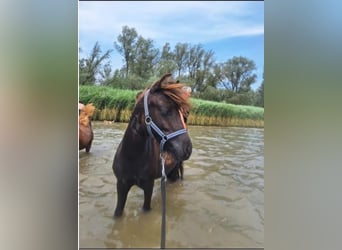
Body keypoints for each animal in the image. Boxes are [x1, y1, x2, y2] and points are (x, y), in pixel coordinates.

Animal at [112, 73, 192, 216]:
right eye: (165, 110)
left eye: (182, 113)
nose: (188, 148)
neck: (132, 156)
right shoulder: (121, 185)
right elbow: (118, 213)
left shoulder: (148, 186)